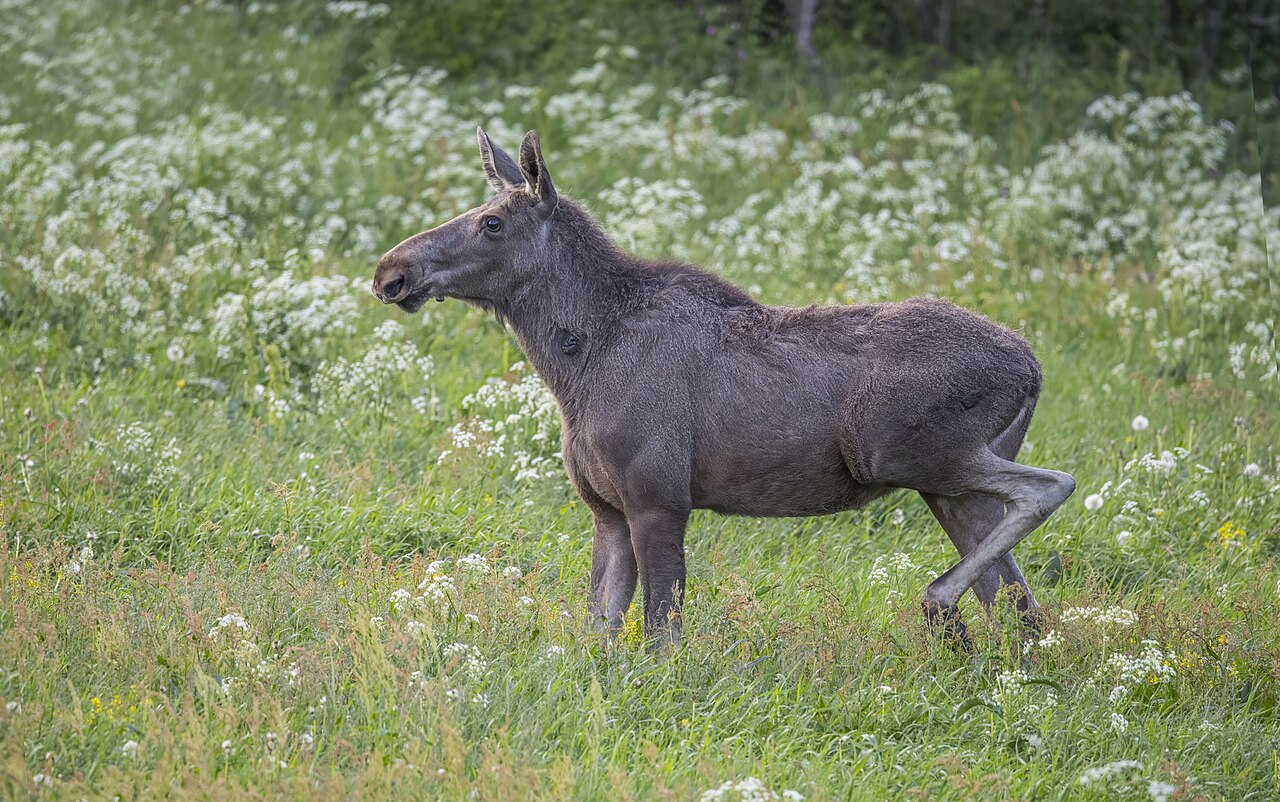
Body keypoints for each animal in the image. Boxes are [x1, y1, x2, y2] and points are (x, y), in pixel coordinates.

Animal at [371, 128, 1076, 648]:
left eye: (491, 222)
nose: (390, 270)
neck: (575, 364)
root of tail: (1033, 367)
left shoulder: (659, 500)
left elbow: (661, 634)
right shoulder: (607, 511)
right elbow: (598, 634)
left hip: (910, 454)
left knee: (1051, 488)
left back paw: (938, 604)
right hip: (949, 489)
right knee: (1020, 601)